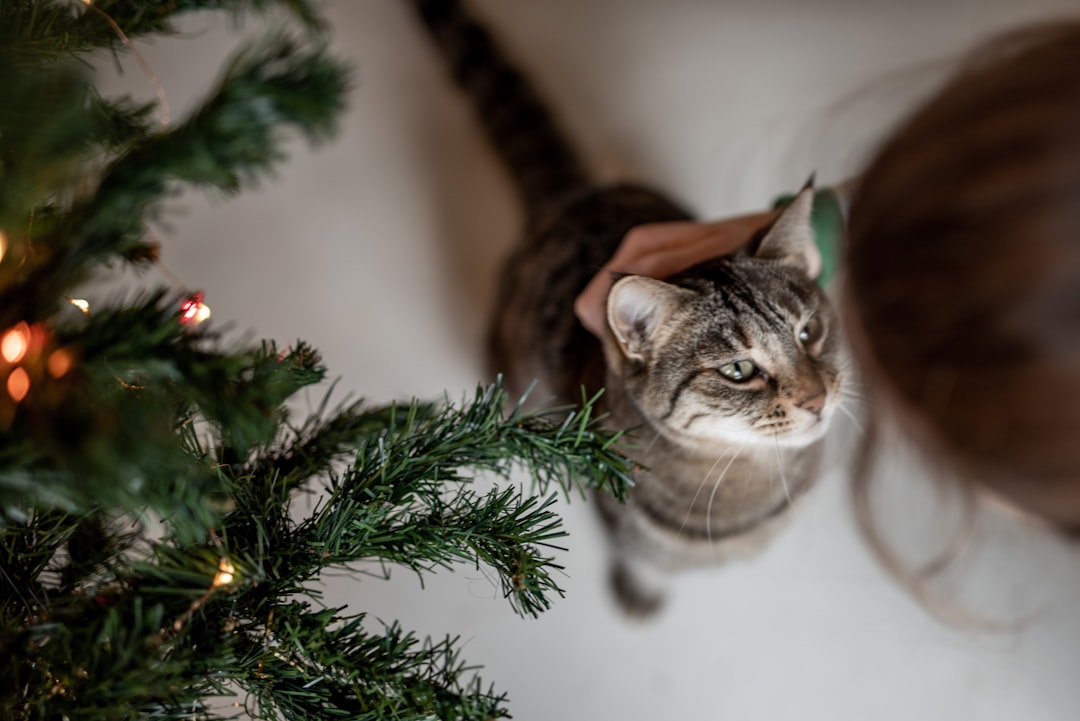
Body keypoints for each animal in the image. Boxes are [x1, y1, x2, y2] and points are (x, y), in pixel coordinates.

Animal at [408, 1, 846, 621]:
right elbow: (642, 562)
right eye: (738, 370)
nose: (816, 397)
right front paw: (640, 597)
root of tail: (575, 198)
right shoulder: (623, 522)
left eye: (809, 333)